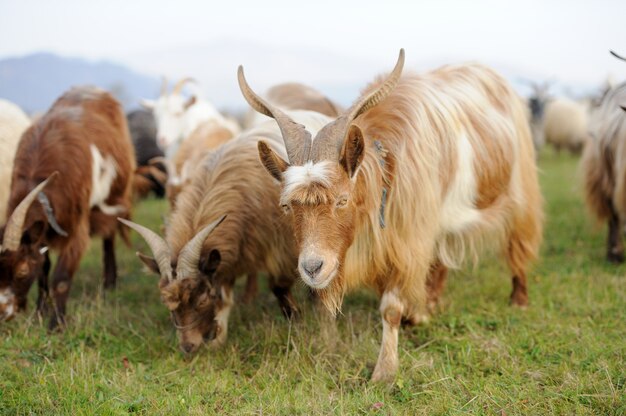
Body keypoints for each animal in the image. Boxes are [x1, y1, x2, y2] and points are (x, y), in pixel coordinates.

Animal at [0, 87, 135, 328]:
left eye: (22, 271)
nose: (2, 312)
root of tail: (91, 88)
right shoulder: (42, 230)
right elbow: (43, 269)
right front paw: (39, 312)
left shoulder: (76, 224)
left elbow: (61, 278)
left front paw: (57, 324)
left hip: (115, 194)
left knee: (109, 234)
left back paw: (110, 282)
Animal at [119, 112, 330, 356]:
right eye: (167, 303)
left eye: (201, 300)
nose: (188, 347)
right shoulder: (232, 251)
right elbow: (224, 295)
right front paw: (218, 338)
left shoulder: (283, 248)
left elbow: (280, 285)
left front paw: (297, 321)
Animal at [241, 48, 544, 380]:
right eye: (287, 205)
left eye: (342, 200)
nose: (312, 267)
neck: (387, 169)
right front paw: (417, 316)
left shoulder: (408, 239)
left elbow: (390, 307)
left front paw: (384, 373)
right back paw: (430, 305)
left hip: (521, 190)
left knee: (519, 243)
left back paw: (519, 299)